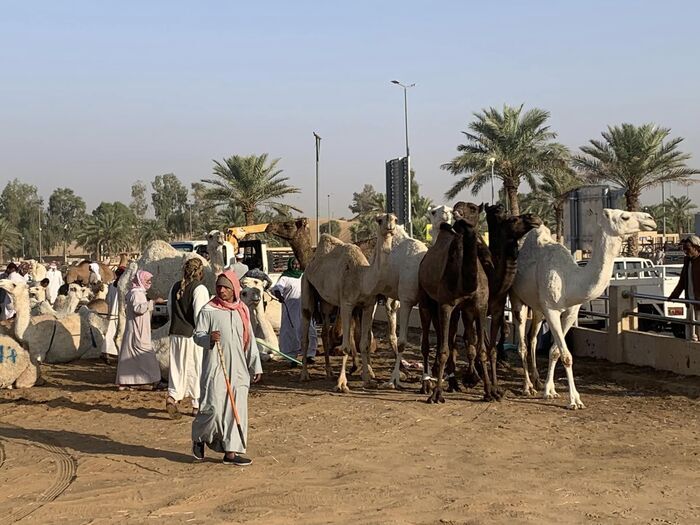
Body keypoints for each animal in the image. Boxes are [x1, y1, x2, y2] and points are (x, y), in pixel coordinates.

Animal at [508, 207, 656, 408]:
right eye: (625, 216)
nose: (651, 220)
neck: (571, 280)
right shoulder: (552, 311)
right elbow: (566, 355)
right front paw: (575, 400)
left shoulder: (571, 311)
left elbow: (555, 351)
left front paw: (550, 390)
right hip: (516, 298)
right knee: (522, 342)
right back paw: (527, 387)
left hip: (537, 306)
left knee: (532, 339)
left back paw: (537, 381)